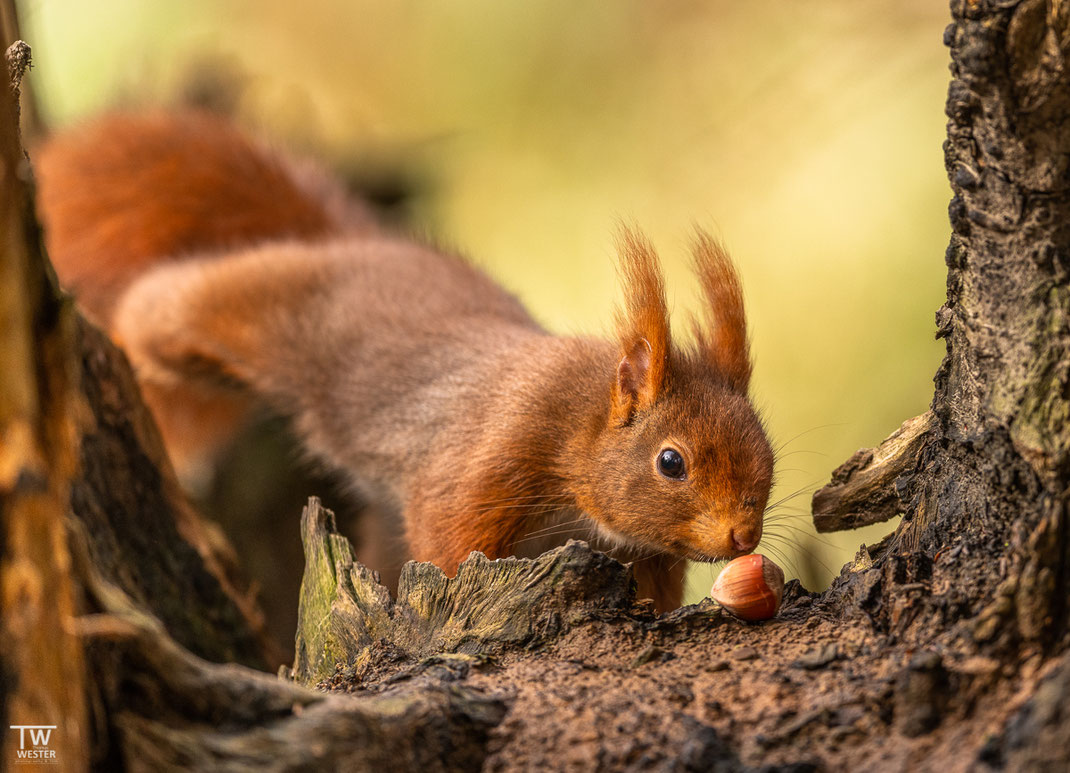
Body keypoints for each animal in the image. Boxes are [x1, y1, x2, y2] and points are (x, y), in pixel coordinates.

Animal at [33, 111, 770, 612]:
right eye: (670, 461)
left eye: (767, 455)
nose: (742, 536)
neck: (577, 424)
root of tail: (355, 243)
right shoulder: (483, 459)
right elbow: (448, 540)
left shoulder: (644, 553)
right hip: (271, 314)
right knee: (167, 302)